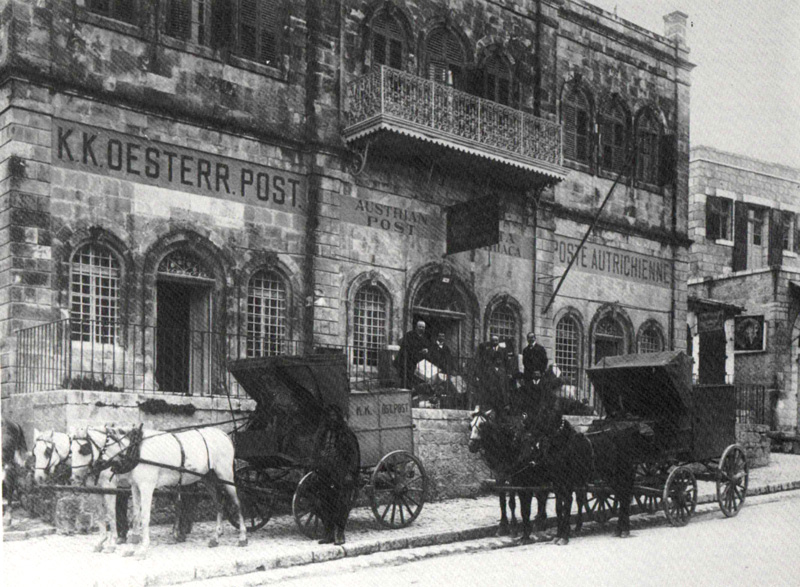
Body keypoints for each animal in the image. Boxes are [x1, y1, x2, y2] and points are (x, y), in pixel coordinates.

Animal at [101, 424, 248, 560]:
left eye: (104, 444)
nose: (100, 468)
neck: (138, 449)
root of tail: (223, 434)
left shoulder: (147, 486)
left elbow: (145, 517)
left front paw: (143, 549)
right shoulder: (136, 487)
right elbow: (136, 517)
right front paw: (131, 548)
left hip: (226, 476)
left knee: (237, 503)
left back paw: (243, 537)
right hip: (209, 479)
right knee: (219, 504)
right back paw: (215, 537)